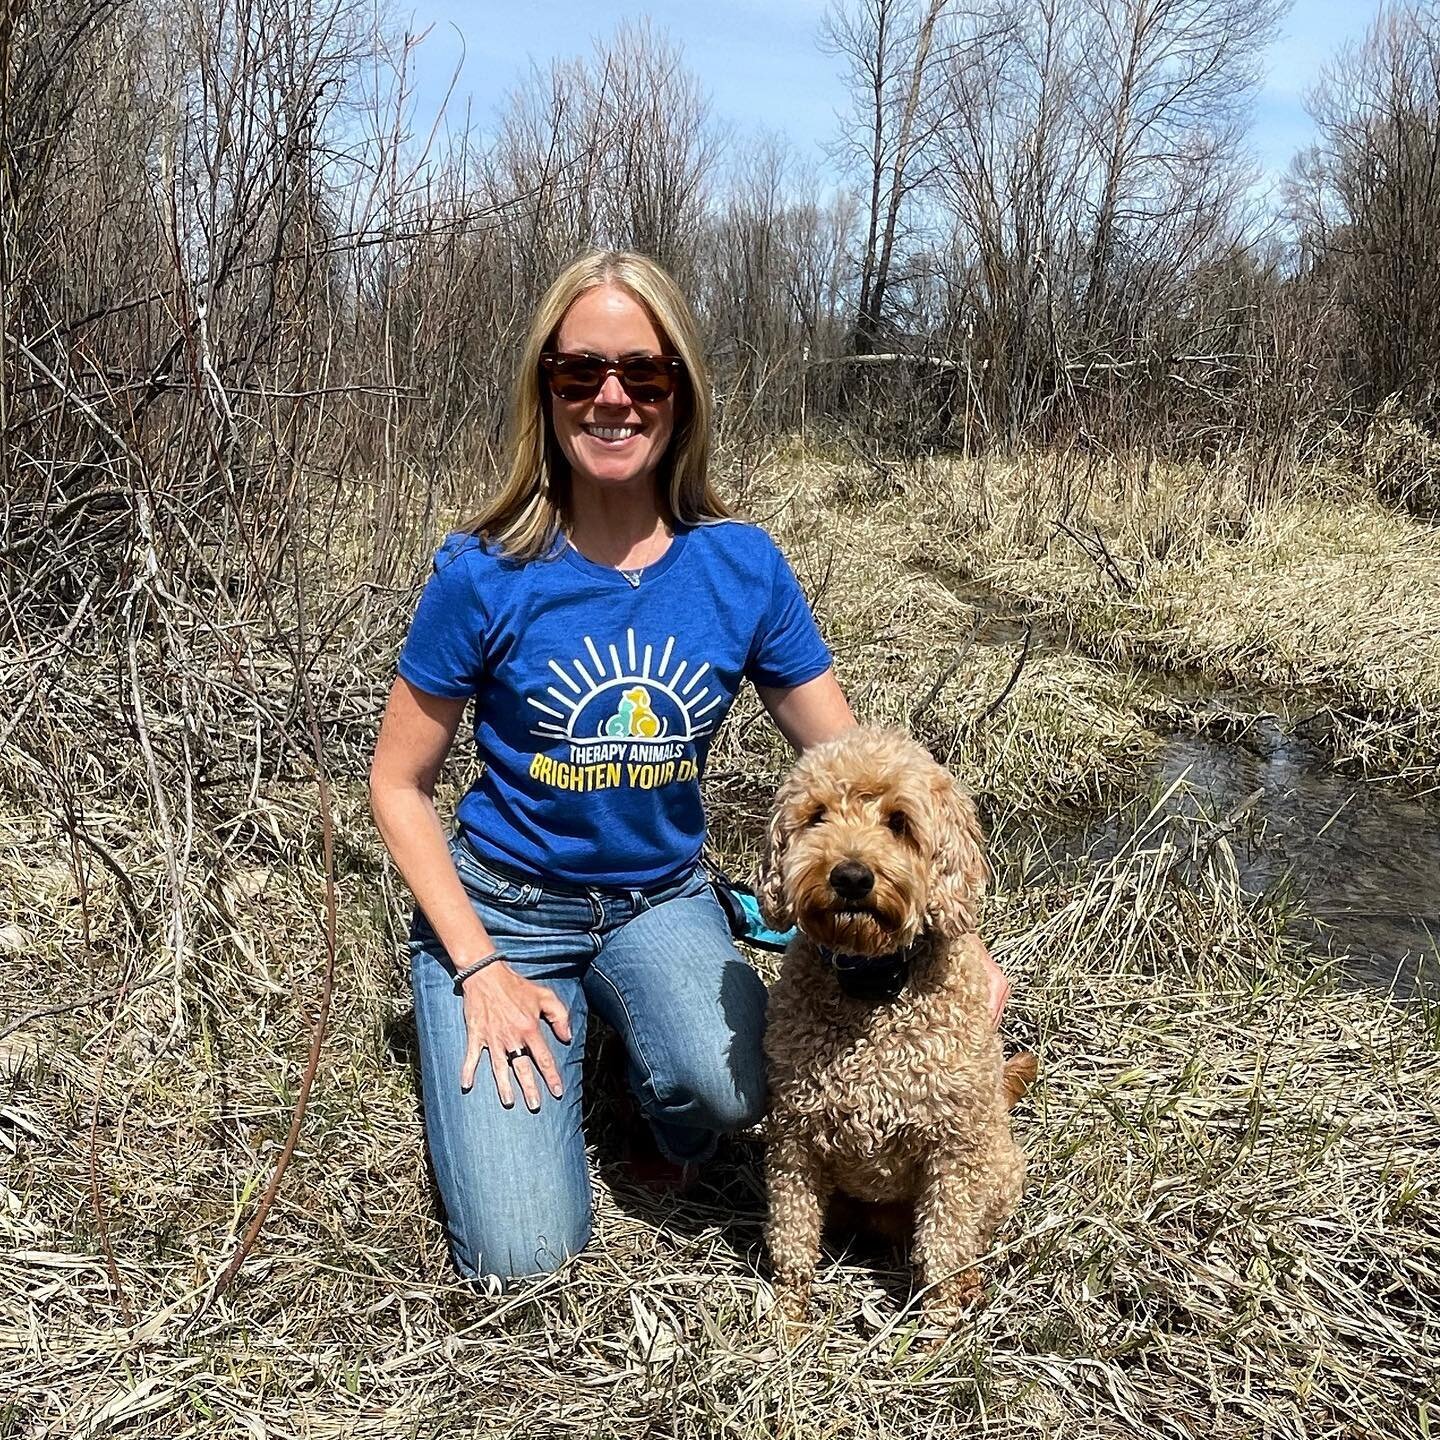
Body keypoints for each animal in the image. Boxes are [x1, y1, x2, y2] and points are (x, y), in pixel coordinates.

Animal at [760, 725, 1031, 1330]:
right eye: (817, 816)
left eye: (899, 822)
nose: (851, 876)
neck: (873, 983)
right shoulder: (794, 1138)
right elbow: (792, 1232)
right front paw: (788, 1317)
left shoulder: (954, 1152)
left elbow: (946, 1246)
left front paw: (938, 1327)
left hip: (999, 1167)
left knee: (971, 1236)